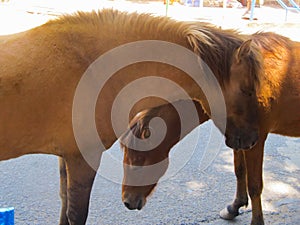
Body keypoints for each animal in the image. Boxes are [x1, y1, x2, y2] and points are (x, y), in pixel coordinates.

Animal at [0, 9, 270, 225]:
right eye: (247, 89)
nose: (251, 140)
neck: (91, 65)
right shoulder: (82, 159)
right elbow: (76, 214)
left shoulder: (66, 158)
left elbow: (64, 206)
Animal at [120, 31, 298, 225]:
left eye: (138, 160)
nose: (127, 202)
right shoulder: (239, 138)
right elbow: (239, 171)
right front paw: (234, 206)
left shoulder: (255, 141)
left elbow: (254, 185)